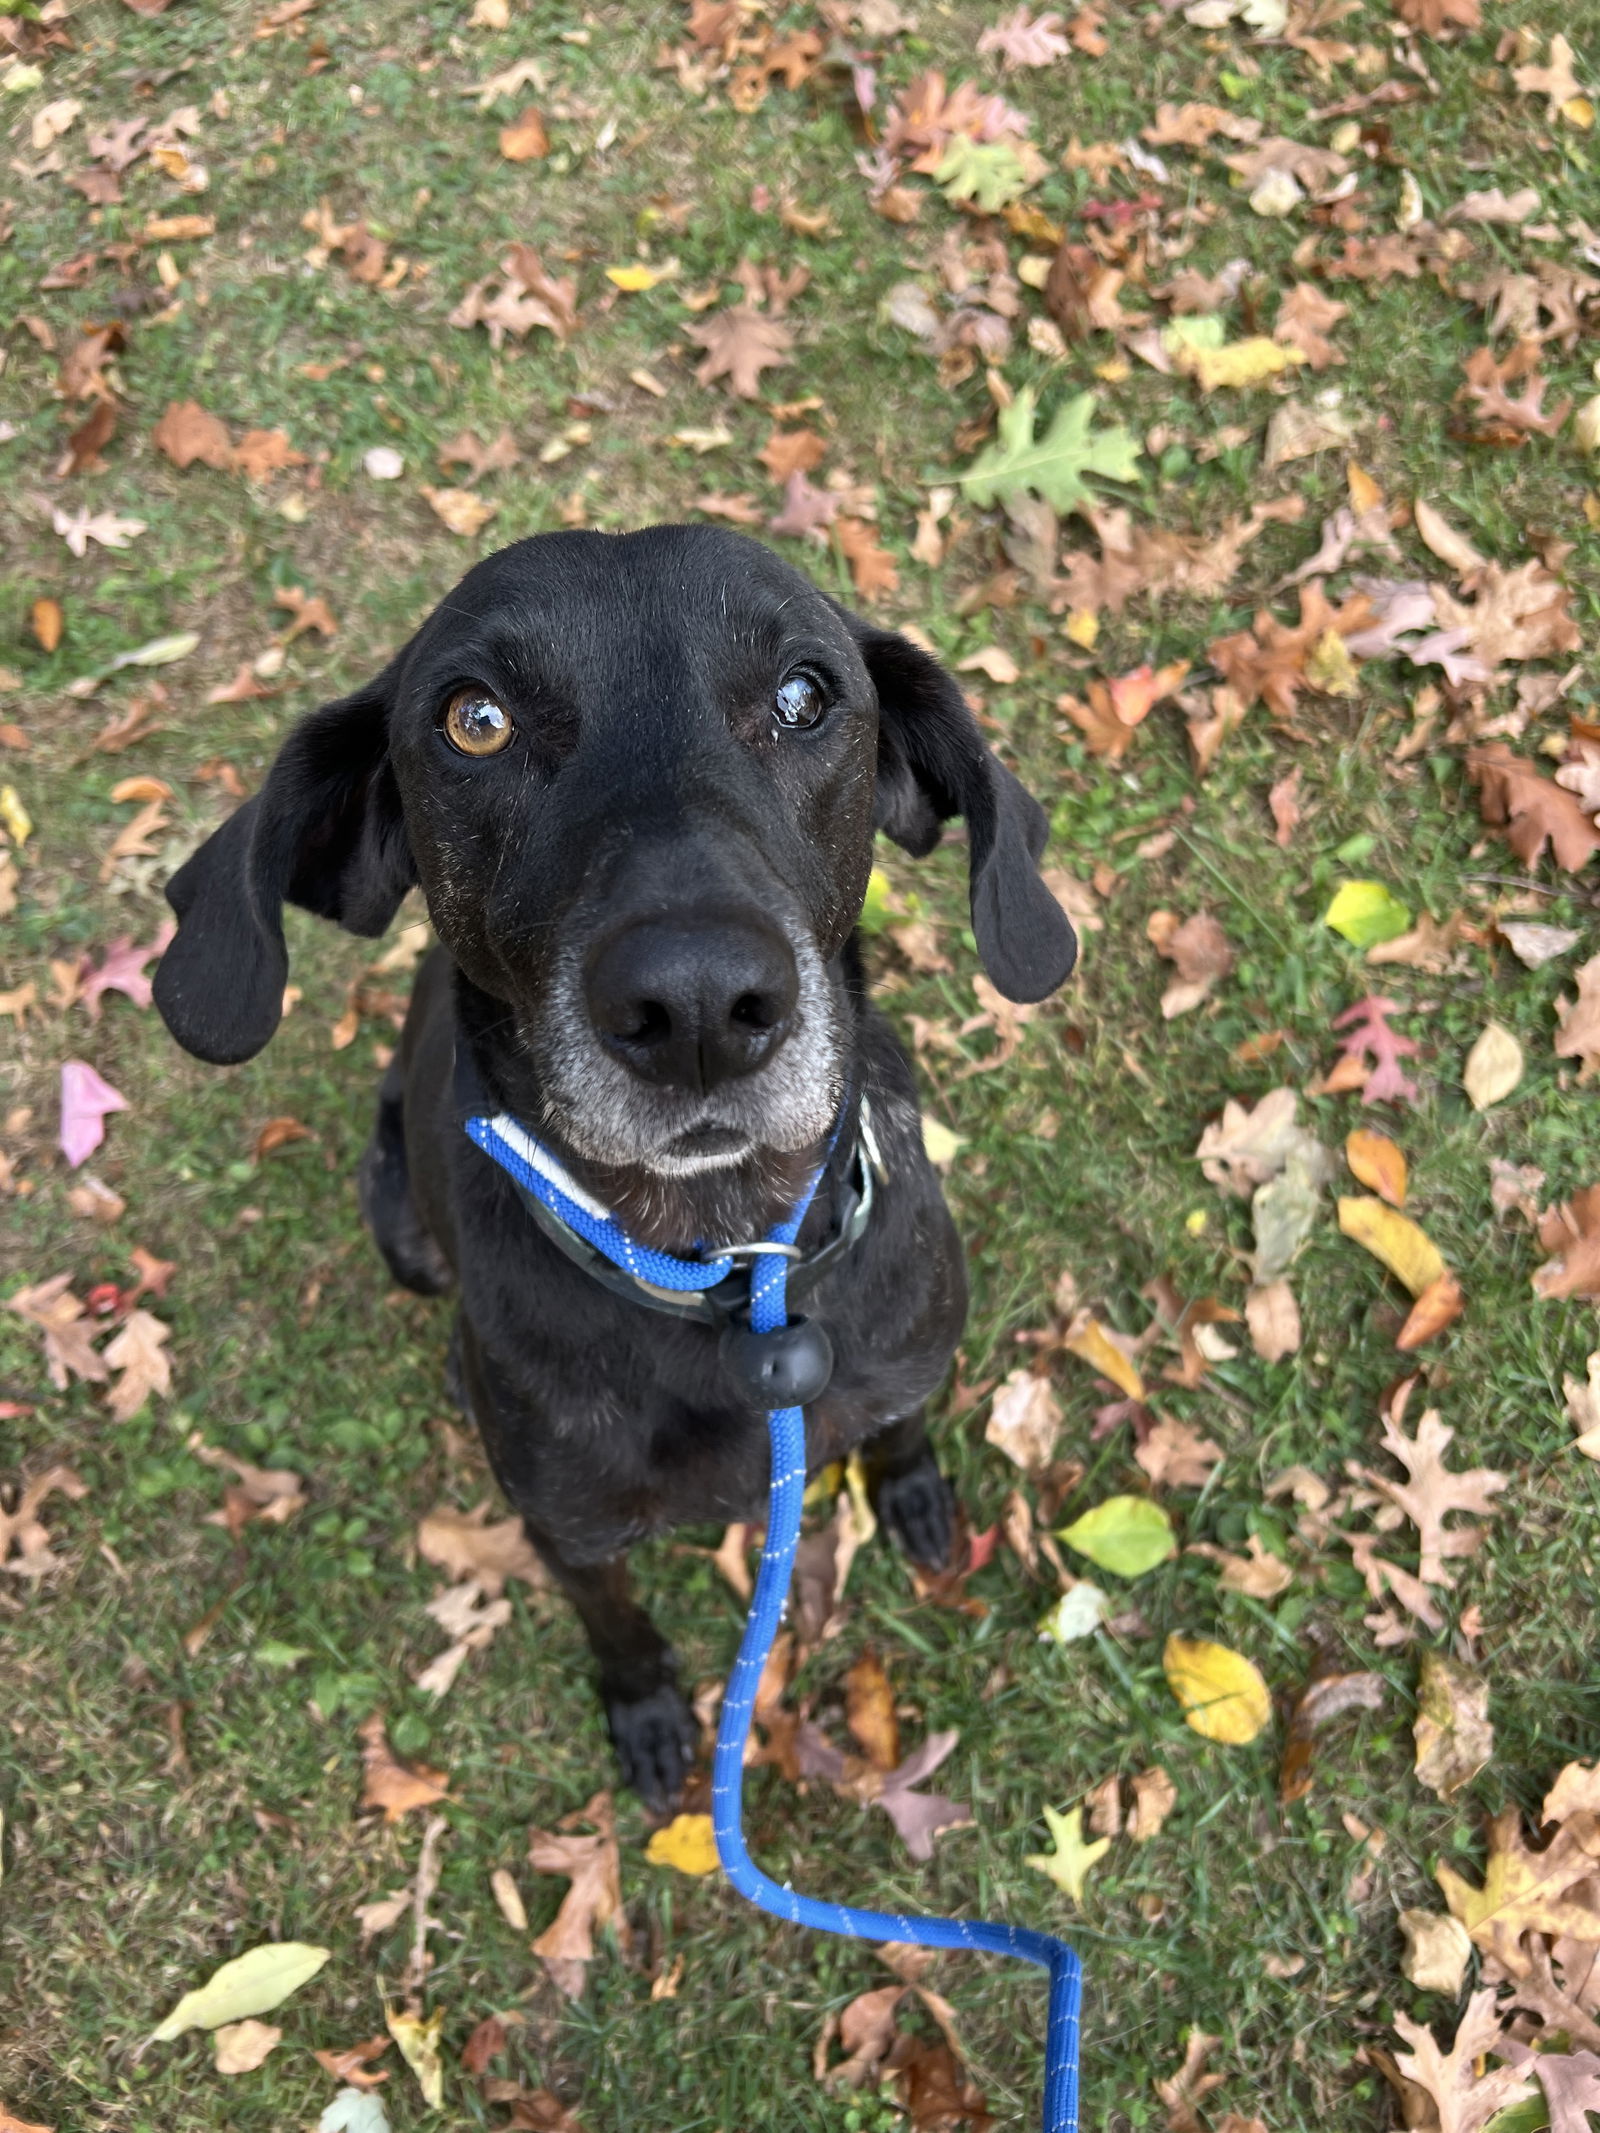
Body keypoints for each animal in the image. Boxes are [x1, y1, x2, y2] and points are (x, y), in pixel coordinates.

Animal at [156, 524, 1079, 1808]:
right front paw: (644, 1712)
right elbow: (619, 1626)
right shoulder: (574, 1537)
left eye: (804, 696)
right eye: (474, 720)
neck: (725, 1265)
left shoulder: (902, 1366)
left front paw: (912, 1495)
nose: (696, 1005)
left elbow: (899, 1428)